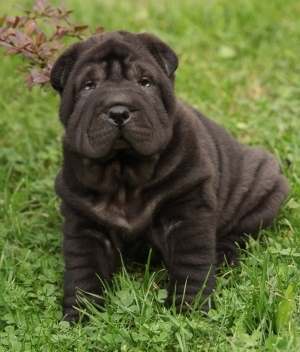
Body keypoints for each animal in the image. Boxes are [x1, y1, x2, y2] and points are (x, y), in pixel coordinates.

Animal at [50, 30, 290, 322]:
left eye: (145, 83)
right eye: (89, 86)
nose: (118, 111)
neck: (124, 173)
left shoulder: (188, 211)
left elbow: (191, 263)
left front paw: (189, 310)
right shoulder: (84, 221)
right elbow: (83, 271)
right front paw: (80, 316)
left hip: (264, 185)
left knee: (240, 231)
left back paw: (222, 255)